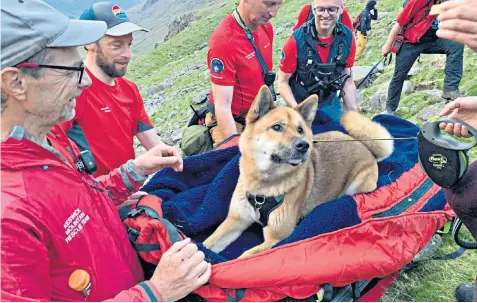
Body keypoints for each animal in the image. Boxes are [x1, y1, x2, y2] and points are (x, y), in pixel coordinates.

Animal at [203, 85, 392, 258]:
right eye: (277, 127)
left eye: (300, 129)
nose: (304, 145)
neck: (263, 187)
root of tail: (364, 146)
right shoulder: (236, 220)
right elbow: (208, 243)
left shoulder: (276, 238)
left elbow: (245, 256)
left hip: (358, 185)